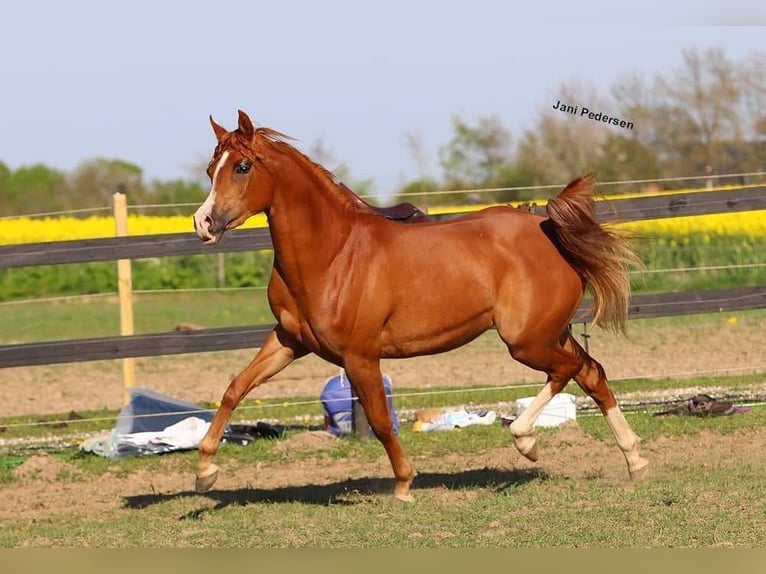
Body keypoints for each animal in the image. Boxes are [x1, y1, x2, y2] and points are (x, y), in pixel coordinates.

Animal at [192, 110, 648, 502]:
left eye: (242, 167)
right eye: (211, 169)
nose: (203, 224)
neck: (332, 255)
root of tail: (548, 228)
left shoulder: (359, 356)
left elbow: (380, 421)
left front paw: (404, 485)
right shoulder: (289, 341)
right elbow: (235, 388)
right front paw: (204, 472)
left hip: (526, 341)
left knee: (567, 371)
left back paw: (526, 440)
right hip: (550, 333)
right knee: (591, 372)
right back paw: (635, 460)